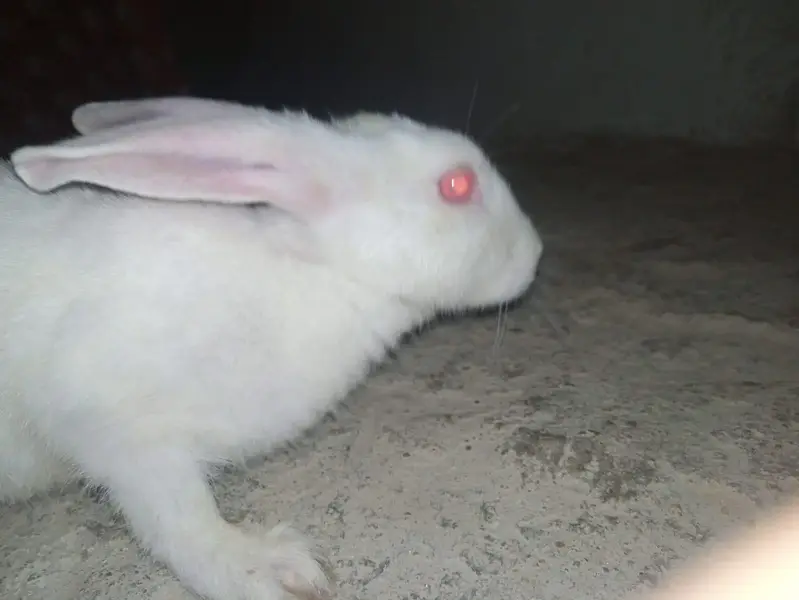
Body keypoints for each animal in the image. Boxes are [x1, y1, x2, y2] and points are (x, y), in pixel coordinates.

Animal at [0, 96, 543, 600]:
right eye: (457, 185)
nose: (536, 252)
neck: (318, 272)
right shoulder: (114, 425)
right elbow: (179, 519)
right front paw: (270, 569)